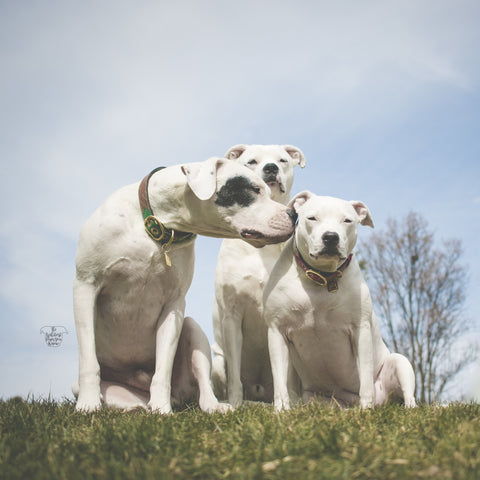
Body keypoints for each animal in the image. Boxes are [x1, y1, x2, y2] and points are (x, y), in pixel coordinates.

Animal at [73, 157, 296, 412]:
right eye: (255, 190)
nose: (294, 214)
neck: (158, 228)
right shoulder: (85, 285)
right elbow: (88, 361)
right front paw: (87, 405)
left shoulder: (174, 305)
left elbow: (163, 367)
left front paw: (162, 410)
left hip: (192, 330)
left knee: (203, 388)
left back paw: (209, 406)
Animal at [212, 144, 306, 406]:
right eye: (252, 161)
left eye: (282, 160)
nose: (270, 168)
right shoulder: (232, 316)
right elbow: (234, 375)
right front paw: (235, 405)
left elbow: (287, 376)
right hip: (216, 361)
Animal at [262, 193, 416, 410]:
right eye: (312, 218)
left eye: (347, 220)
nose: (331, 237)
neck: (321, 277)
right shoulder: (277, 331)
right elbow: (280, 382)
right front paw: (281, 411)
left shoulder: (360, 331)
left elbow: (365, 380)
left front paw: (366, 410)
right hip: (313, 396)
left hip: (400, 363)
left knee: (408, 396)